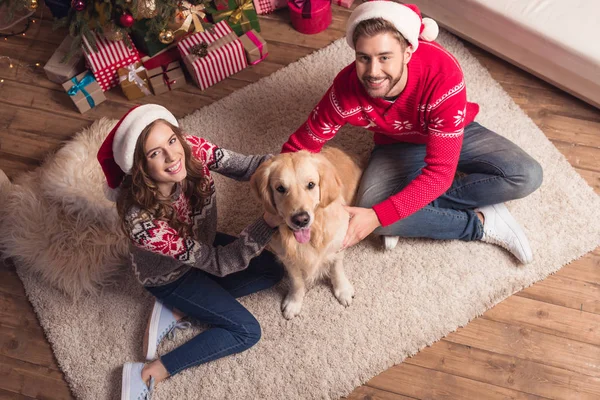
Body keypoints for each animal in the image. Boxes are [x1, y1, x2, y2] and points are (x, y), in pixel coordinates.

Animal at [251, 147, 364, 318]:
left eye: (311, 185)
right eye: (280, 188)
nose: (301, 219)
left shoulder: (338, 244)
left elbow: (337, 269)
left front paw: (343, 290)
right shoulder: (287, 258)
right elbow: (296, 282)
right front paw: (294, 303)